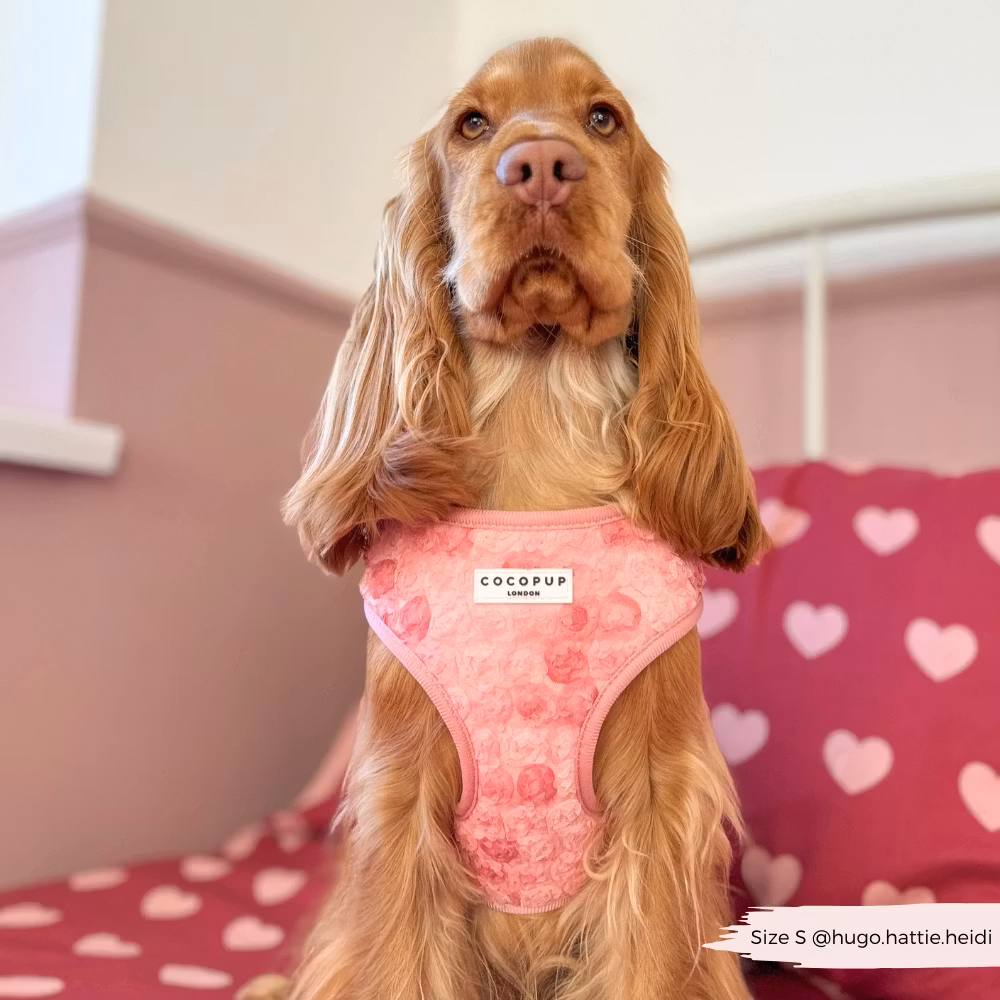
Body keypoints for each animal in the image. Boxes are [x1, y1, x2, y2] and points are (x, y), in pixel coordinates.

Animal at [240, 36, 768, 1000]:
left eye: (603, 118)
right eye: (472, 124)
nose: (542, 167)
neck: (536, 420)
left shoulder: (658, 797)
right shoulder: (403, 793)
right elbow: (395, 965)